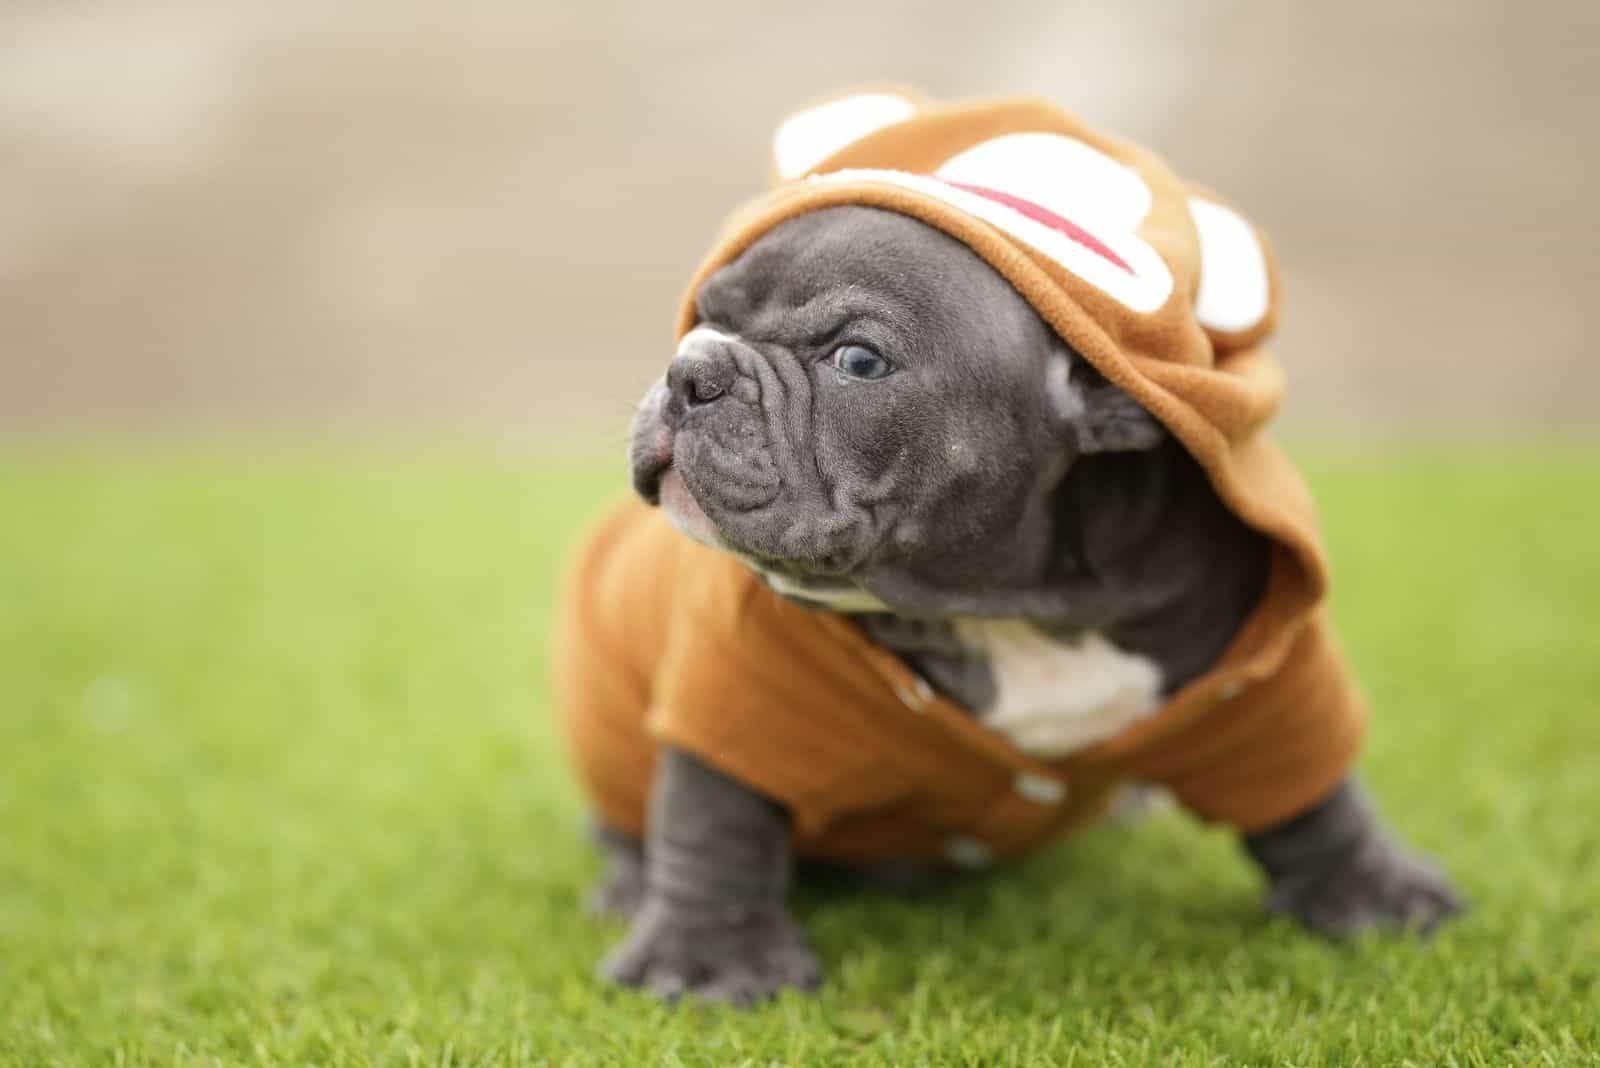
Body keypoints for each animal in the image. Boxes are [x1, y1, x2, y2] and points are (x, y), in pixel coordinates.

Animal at [553, 95, 1465, 1004]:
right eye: (706, 316)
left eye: (858, 360)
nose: (691, 370)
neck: (1003, 604)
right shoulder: (740, 684)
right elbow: (712, 820)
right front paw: (707, 961)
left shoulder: (1260, 664)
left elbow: (1313, 789)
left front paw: (1376, 896)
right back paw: (630, 886)